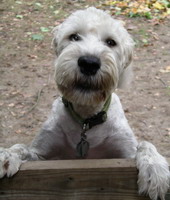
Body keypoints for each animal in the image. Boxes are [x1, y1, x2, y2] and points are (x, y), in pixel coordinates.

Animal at [0, 7, 169, 199]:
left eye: (111, 42)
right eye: (74, 36)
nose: (89, 63)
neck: (86, 118)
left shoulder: (125, 155)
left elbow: (145, 144)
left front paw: (154, 169)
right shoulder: (41, 156)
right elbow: (22, 147)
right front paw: (7, 154)